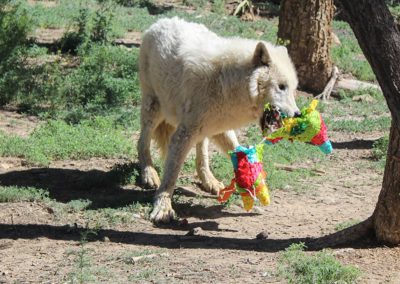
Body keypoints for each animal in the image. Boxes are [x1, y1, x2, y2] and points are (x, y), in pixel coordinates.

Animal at [139, 17, 298, 224]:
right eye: (281, 86)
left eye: (293, 89)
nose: (297, 114)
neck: (230, 84)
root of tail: (161, 22)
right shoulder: (184, 133)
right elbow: (171, 175)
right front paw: (163, 208)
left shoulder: (220, 128)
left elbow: (241, 153)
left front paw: (256, 185)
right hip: (155, 108)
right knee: (142, 141)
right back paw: (148, 173)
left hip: (202, 128)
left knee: (202, 154)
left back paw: (210, 181)